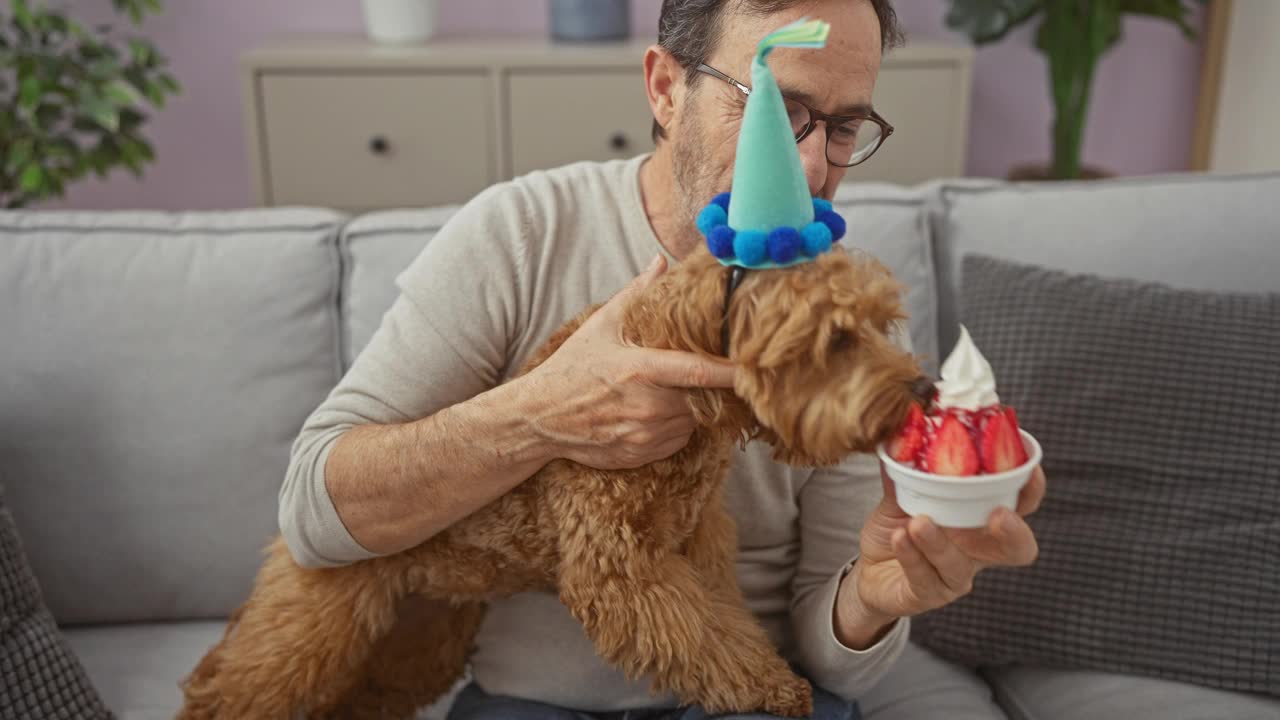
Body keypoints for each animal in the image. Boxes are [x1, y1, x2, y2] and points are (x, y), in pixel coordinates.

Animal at [175, 245, 926, 717]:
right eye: (835, 339)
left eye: (881, 323)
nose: (921, 387)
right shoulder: (620, 570)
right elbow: (705, 640)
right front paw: (773, 686)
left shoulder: (701, 544)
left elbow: (726, 622)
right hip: (312, 620)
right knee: (230, 689)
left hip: (422, 640)